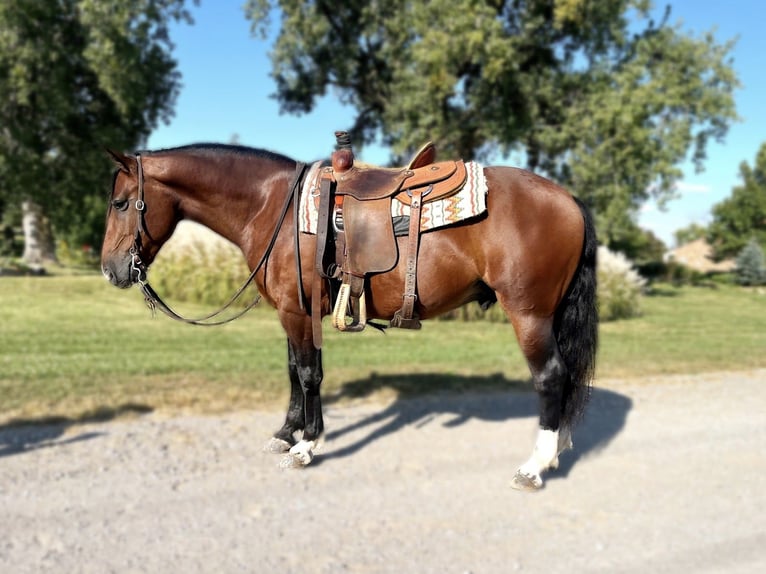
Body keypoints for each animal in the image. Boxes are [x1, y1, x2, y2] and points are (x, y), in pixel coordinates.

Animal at [100, 144, 600, 490]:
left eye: (121, 203)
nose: (110, 269)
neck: (271, 205)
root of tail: (569, 199)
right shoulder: (292, 312)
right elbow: (293, 371)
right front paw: (286, 432)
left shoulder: (298, 312)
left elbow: (308, 374)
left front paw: (306, 445)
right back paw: (555, 453)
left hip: (529, 314)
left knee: (551, 377)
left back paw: (534, 466)